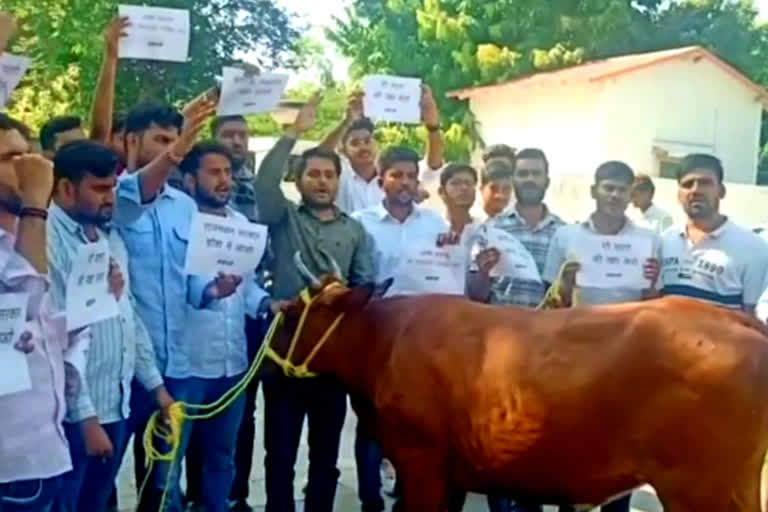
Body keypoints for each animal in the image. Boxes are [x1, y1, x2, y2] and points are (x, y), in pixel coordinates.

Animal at [270, 274, 768, 510]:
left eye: (292, 314)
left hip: (699, 490)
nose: (268, 361)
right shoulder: (451, 471)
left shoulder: (421, 461)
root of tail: (735, 319)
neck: (384, 338)